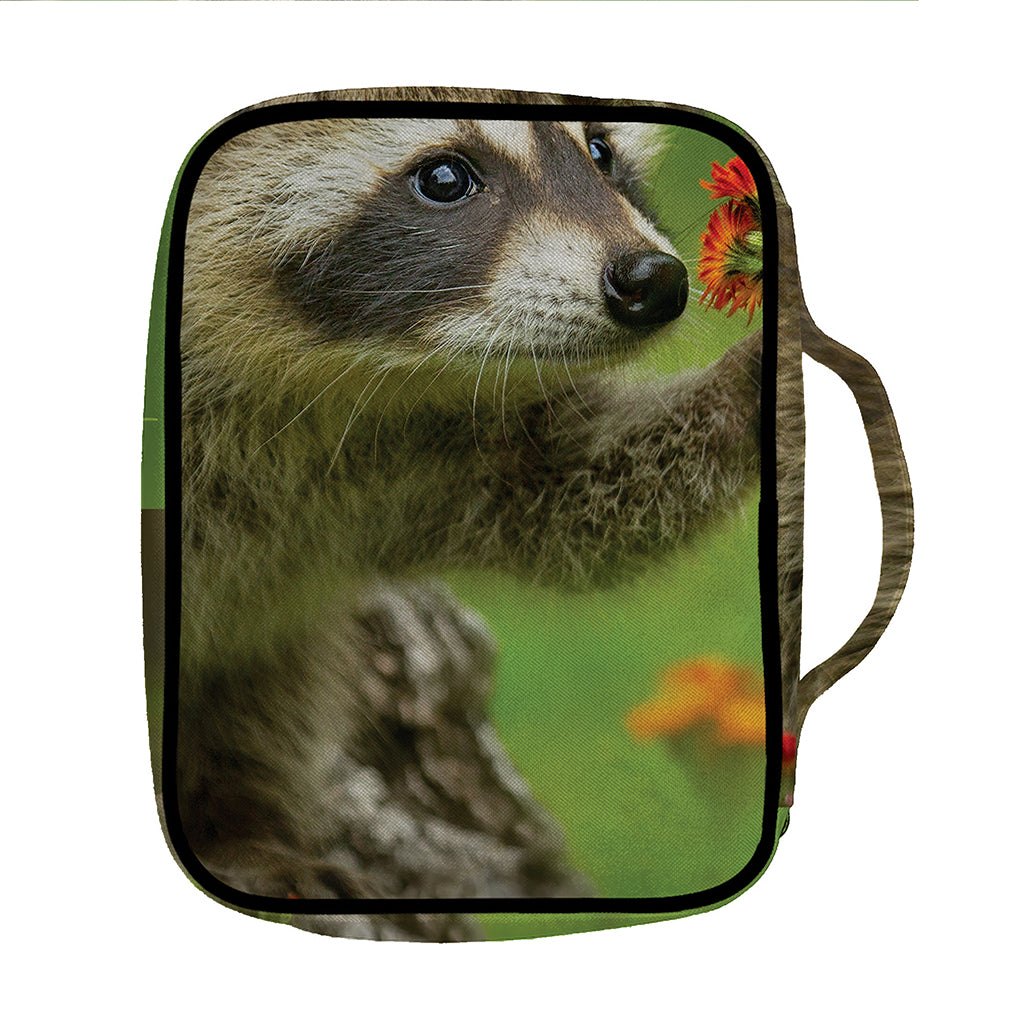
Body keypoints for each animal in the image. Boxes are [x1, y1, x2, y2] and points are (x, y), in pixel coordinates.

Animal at [176, 99, 762, 940]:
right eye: (445, 177)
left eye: (599, 151)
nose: (654, 281)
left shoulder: (418, 448)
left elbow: (574, 501)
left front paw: (749, 385)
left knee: (263, 676)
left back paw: (239, 817)